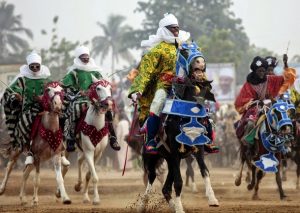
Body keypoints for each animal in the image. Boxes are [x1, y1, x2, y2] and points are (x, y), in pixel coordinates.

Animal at [61, 76, 113, 205]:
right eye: (98, 88)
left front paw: (87, 196)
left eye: (110, 88)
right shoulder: (89, 151)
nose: (108, 103)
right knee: (65, 166)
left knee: (79, 161)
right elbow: (94, 176)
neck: (96, 125)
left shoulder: (98, 153)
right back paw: (60, 193)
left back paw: (80, 188)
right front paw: (96, 199)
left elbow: (89, 175)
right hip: (68, 148)